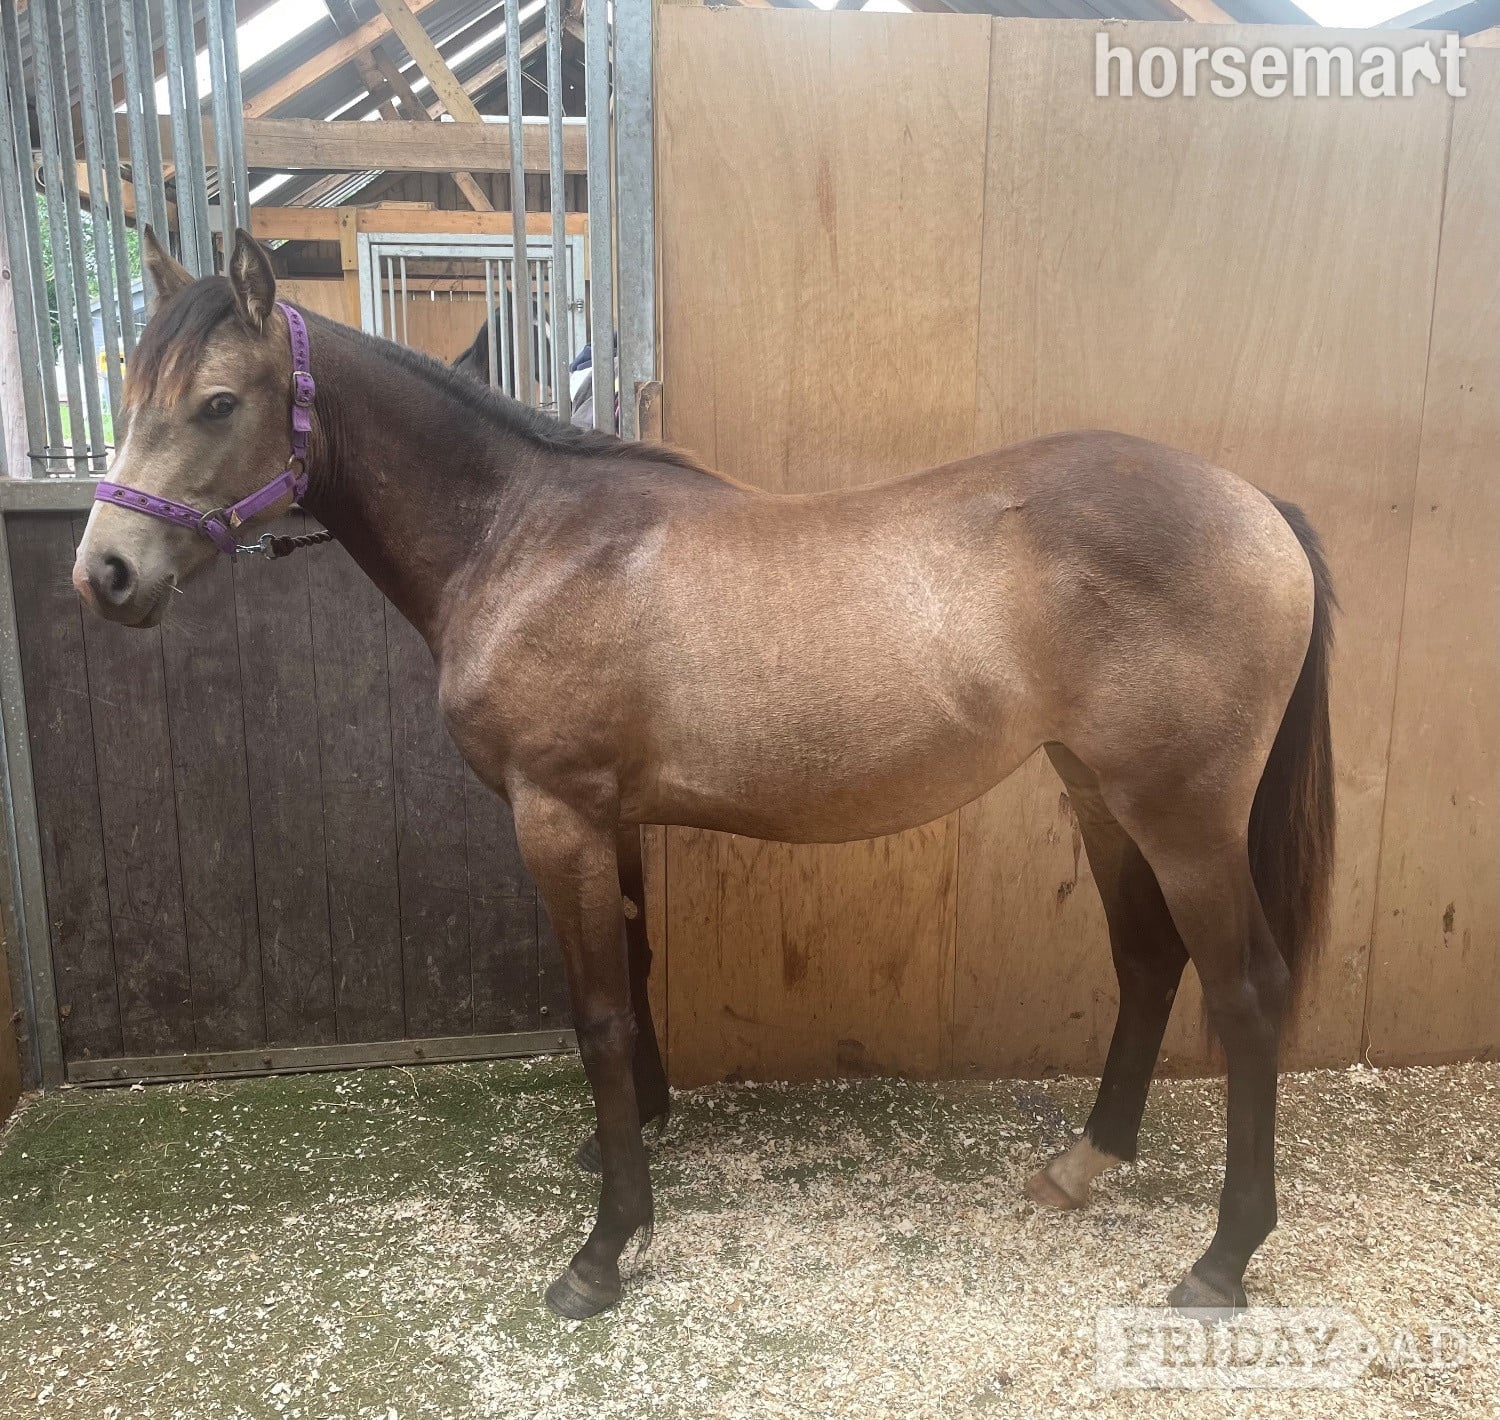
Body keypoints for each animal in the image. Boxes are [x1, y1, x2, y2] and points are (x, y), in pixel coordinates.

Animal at [73, 228, 1335, 1322]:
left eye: (217, 402)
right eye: (129, 390)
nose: (105, 574)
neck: (529, 540)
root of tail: (1259, 507)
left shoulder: (557, 816)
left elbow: (595, 1014)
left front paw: (603, 1248)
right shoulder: (610, 818)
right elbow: (632, 979)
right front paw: (635, 1133)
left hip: (1183, 814)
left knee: (1247, 990)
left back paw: (1223, 1256)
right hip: (1099, 793)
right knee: (1148, 961)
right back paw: (1085, 1162)